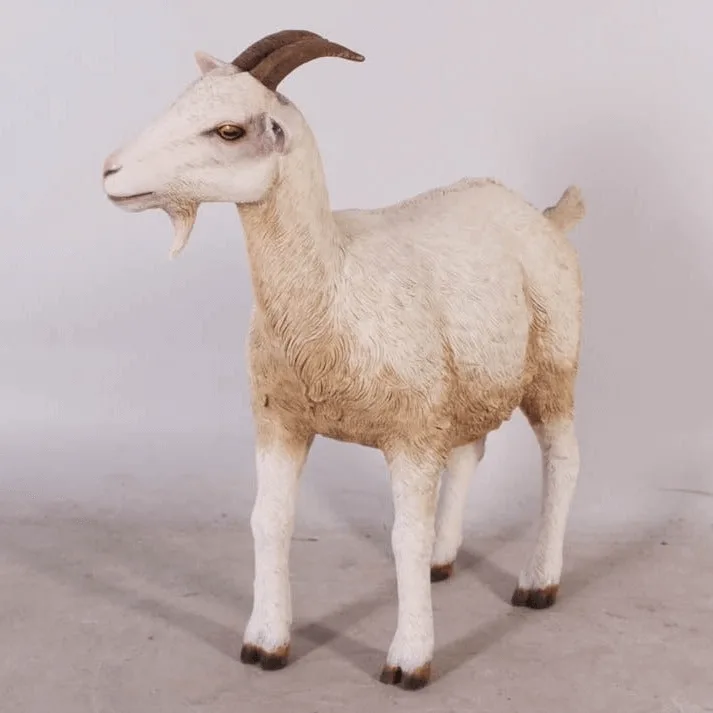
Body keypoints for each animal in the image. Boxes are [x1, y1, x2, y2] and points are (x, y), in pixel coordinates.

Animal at [102, 30, 586, 690]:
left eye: (228, 129)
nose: (110, 171)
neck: (336, 281)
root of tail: (542, 216)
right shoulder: (280, 422)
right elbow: (268, 521)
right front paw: (265, 643)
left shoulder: (410, 434)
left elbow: (403, 536)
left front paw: (409, 659)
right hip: (469, 385)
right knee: (470, 453)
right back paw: (444, 560)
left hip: (553, 372)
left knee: (562, 462)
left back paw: (537, 583)